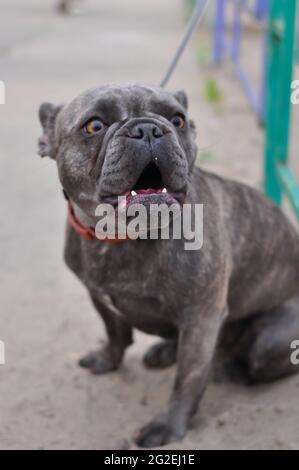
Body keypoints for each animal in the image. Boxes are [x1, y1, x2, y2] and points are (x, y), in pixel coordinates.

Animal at [38, 84, 299, 448]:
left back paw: (229, 367)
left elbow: (187, 379)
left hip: (270, 340)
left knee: (251, 360)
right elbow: (115, 332)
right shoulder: (98, 296)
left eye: (178, 119)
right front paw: (107, 359)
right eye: (94, 125)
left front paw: (168, 426)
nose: (148, 128)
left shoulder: (202, 319)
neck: (122, 236)